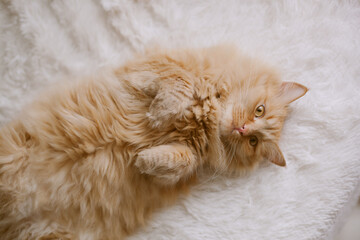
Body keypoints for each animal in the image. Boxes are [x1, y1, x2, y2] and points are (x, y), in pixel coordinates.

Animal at [0, 44, 306, 238]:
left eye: (253, 142)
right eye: (260, 111)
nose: (242, 129)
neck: (204, 122)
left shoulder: (187, 161)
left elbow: (183, 159)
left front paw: (143, 158)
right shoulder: (149, 69)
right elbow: (181, 82)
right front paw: (159, 114)